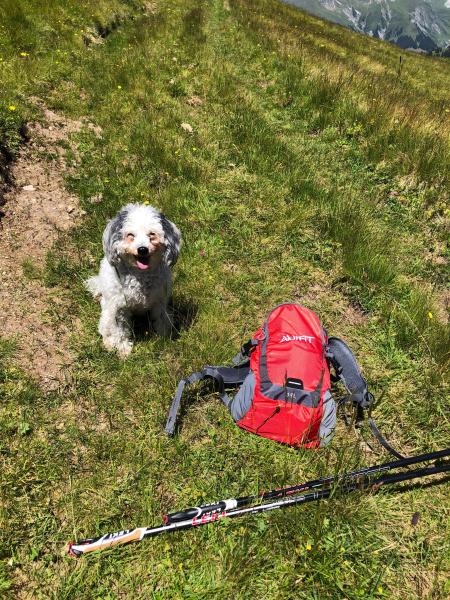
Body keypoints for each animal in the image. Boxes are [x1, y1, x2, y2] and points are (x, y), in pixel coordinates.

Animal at [86, 203, 182, 356]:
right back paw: (109, 343)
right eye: (130, 235)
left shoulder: (160, 302)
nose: (142, 249)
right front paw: (123, 350)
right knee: (105, 328)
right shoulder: (118, 308)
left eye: (152, 234)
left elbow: (162, 320)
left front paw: (165, 337)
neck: (140, 276)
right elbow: (119, 331)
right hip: (107, 311)